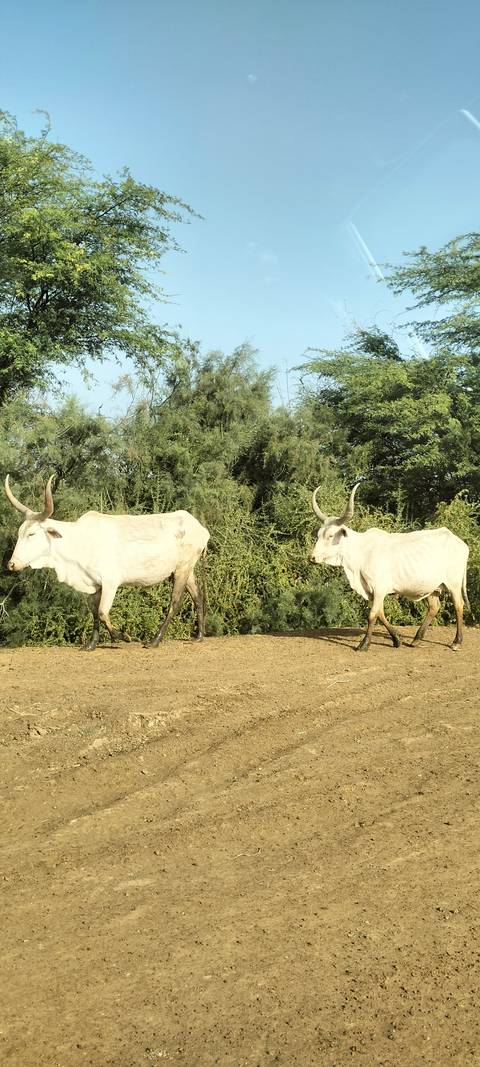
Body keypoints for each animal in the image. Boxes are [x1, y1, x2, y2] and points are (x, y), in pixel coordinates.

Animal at [5, 475, 210, 651]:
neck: (78, 541)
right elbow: (95, 613)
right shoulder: (94, 585)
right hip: (186, 570)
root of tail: (199, 528)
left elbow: (103, 612)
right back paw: (199, 636)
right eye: (20, 532)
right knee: (198, 595)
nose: (12, 564)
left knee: (175, 602)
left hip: (182, 569)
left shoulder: (111, 583)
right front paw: (91, 644)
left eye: (32, 533)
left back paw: (155, 640)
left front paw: (123, 636)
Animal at [309, 480, 470, 652]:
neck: (361, 552)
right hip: (432, 587)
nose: (312, 557)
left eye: (331, 535)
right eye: (318, 535)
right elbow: (380, 614)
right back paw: (416, 640)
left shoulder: (379, 588)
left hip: (453, 583)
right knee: (434, 607)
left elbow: (372, 614)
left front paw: (364, 644)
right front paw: (397, 639)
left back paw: (457, 641)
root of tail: (459, 542)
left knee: (458, 605)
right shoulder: (374, 591)